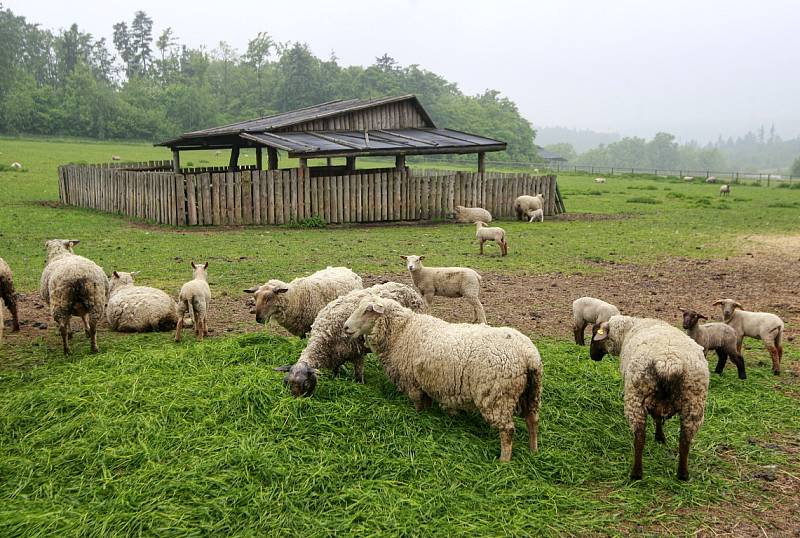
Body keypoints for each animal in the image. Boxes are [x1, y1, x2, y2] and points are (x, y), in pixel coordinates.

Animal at [274, 278, 424, 396]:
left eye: (305, 384)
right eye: (286, 383)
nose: (295, 401)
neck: (324, 337)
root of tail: (406, 286)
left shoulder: (357, 352)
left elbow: (358, 374)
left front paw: (360, 385)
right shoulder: (335, 355)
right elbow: (335, 370)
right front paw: (335, 378)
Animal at [340, 294, 540, 460]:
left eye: (368, 310)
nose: (346, 327)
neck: (402, 332)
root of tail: (528, 355)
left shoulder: (412, 383)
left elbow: (418, 405)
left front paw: (418, 417)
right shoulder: (426, 381)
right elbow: (427, 403)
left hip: (496, 396)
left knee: (508, 431)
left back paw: (503, 461)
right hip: (531, 393)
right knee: (532, 421)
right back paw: (533, 452)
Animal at [588, 312, 712, 480]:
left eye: (595, 333)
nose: (592, 356)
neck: (628, 330)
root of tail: (669, 363)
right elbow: (659, 419)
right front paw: (660, 437)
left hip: (636, 396)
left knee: (639, 438)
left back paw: (636, 473)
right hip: (694, 402)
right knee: (685, 440)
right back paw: (683, 474)